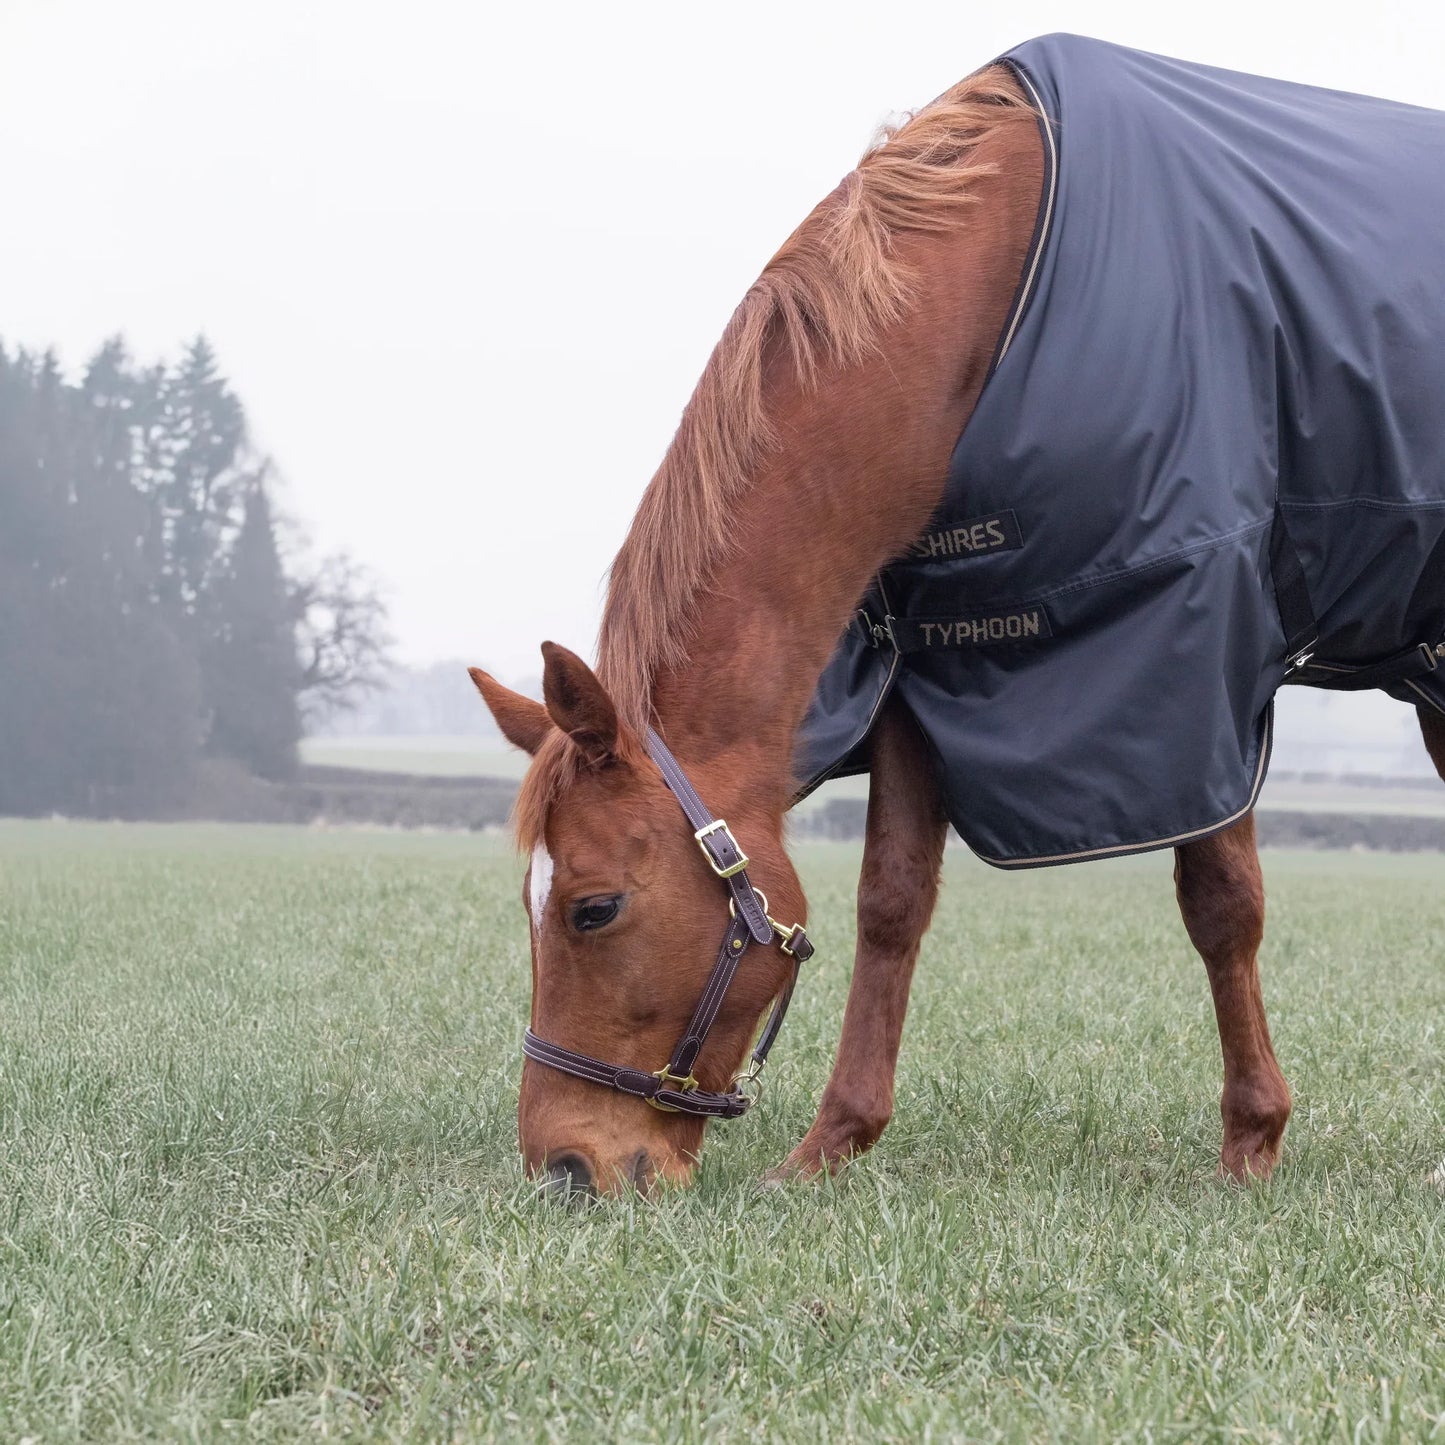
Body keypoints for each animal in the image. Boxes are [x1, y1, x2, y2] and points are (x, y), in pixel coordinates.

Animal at [471, 34, 1445, 1196]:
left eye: (593, 906)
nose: (566, 1165)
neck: (989, 298)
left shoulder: (1190, 651)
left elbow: (1220, 903)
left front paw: (1251, 1140)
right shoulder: (923, 663)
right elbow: (890, 899)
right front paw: (831, 1144)